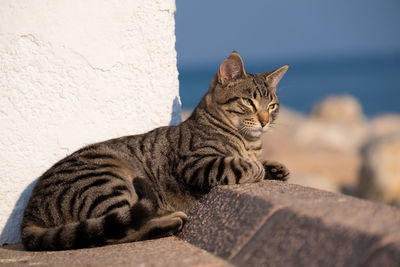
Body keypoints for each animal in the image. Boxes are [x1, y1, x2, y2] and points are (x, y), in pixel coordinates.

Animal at [21, 51, 290, 251]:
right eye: (248, 102)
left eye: (272, 105)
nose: (265, 121)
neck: (249, 142)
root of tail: (29, 211)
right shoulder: (198, 164)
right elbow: (238, 164)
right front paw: (257, 167)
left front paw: (275, 168)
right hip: (107, 181)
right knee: (117, 233)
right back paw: (169, 222)